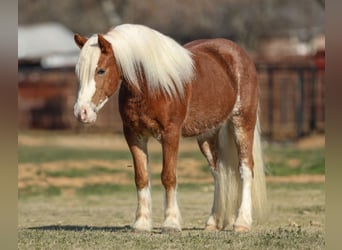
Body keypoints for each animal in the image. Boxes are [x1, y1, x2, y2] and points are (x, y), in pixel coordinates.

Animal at [73, 23, 268, 232]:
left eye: (101, 70)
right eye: (78, 72)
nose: (82, 112)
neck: (150, 85)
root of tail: (239, 54)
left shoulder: (171, 134)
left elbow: (168, 176)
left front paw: (171, 223)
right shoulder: (134, 135)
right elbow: (141, 177)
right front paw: (141, 223)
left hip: (242, 123)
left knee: (245, 169)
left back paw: (242, 222)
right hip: (208, 135)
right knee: (218, 172)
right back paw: (213, 222)